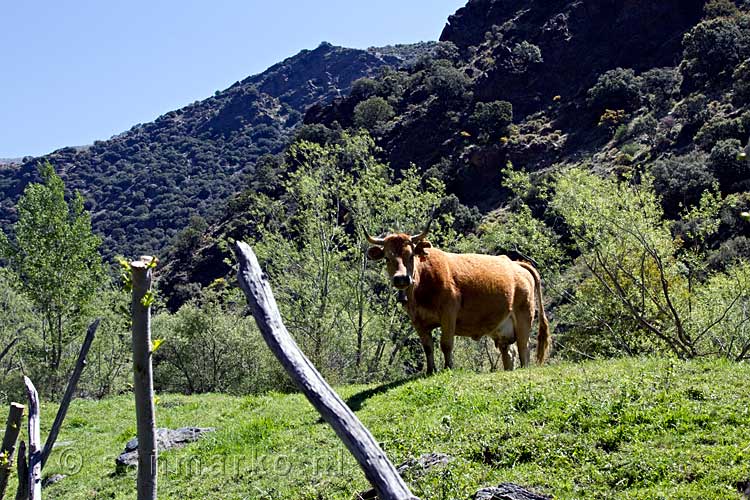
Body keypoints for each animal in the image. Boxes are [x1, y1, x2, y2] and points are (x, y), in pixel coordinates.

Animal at [366, 225, 548, 374]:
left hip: (524, 316)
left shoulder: (448, 314)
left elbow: (446, 344)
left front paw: (448, 368)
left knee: (524, 349)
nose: (401, 278)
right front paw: (430, 371)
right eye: (387, 258)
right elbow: (428, 347)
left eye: (411, 256)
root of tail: (515, 264)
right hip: (501, 329)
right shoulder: (417, 320)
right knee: (509, 353)